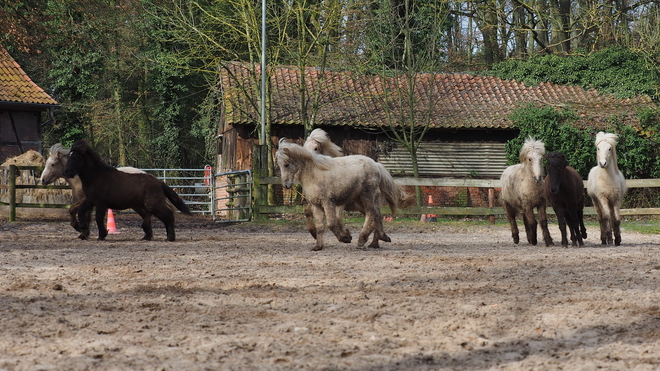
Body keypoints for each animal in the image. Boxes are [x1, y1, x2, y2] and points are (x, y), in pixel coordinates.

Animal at [63, 140, 192, 241]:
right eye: (68, 156)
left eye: (75, 157)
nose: (66, 173)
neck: (96, 176)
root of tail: (159, 182)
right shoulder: (90, 200)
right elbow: (81, 211)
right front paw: (81, 228)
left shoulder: (100, 203)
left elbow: (98, 218)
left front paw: (101, 235)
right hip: (142, 206)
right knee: (149, 217)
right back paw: (147, 237)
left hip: (154, 204)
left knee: (169, 215)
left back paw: (170, 237)